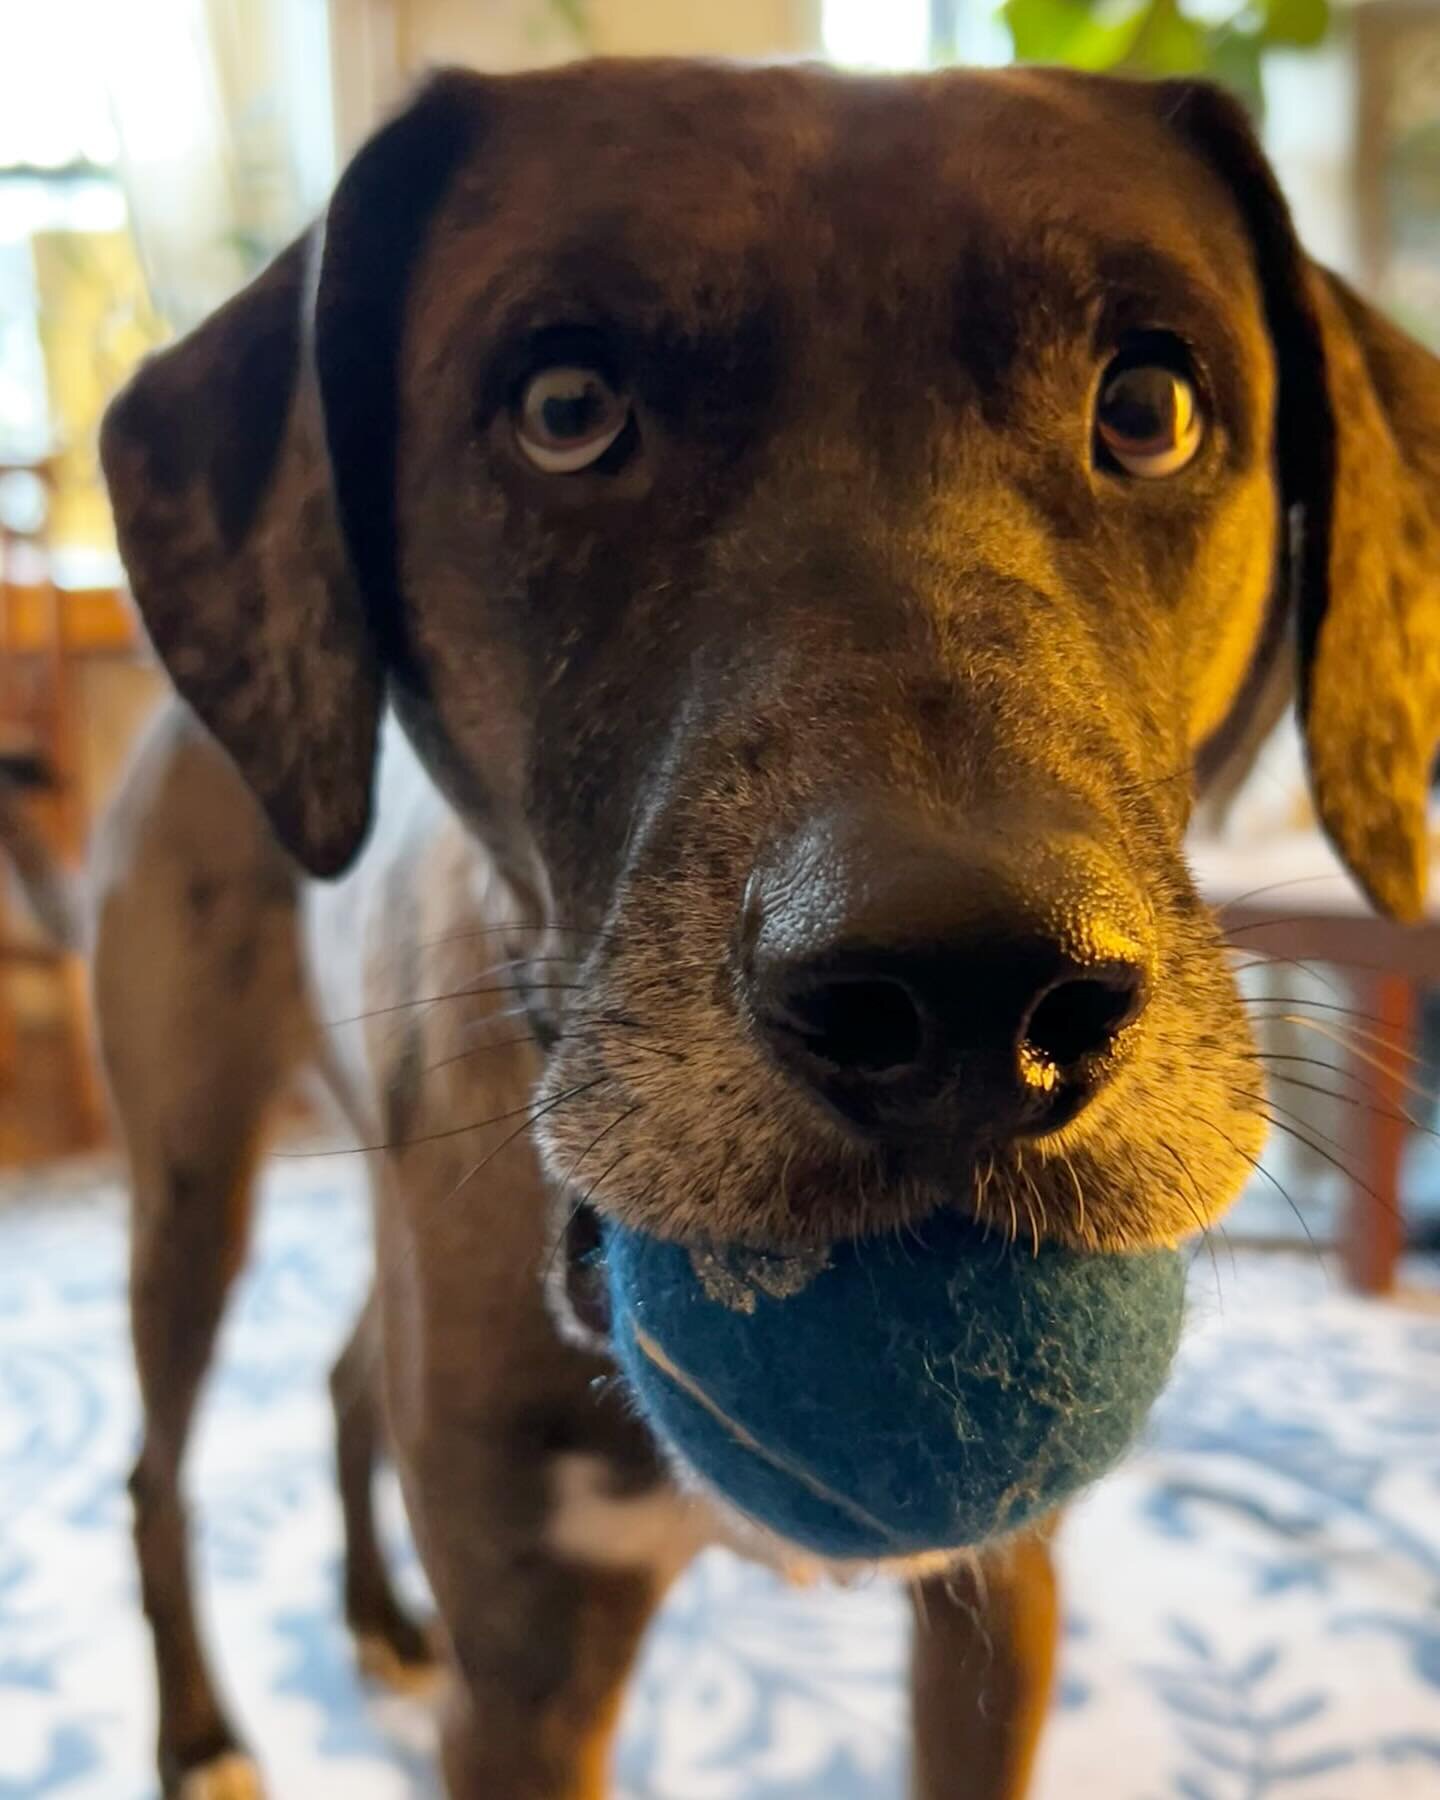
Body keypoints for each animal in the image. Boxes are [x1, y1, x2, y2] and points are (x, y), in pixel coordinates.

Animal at [14, 56, 1440, 1800]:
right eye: (565, 409)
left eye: (1151, 409)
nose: (972, 999)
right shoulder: (532, 1674)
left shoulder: (998, 1604)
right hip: (190, 1184)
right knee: (156, 1465)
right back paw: (205, 1733)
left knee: (343, 1376)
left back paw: (375, 1615)